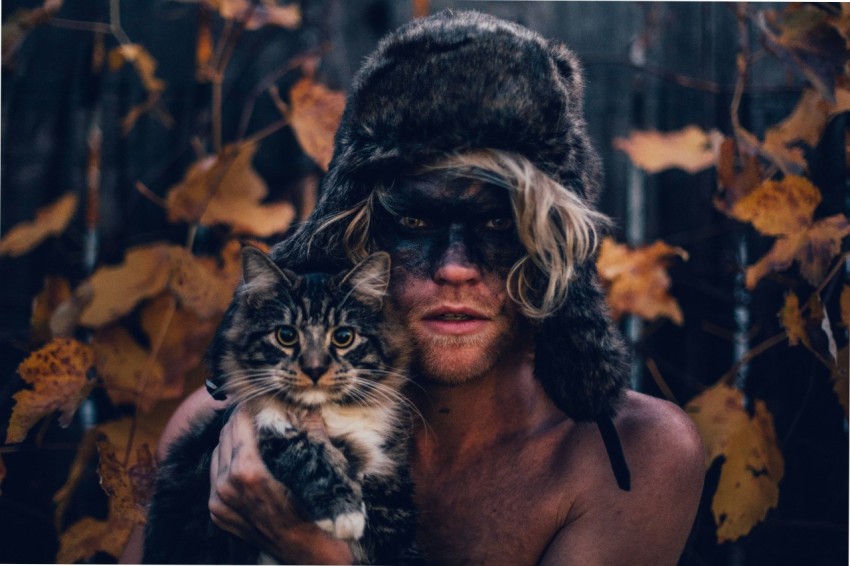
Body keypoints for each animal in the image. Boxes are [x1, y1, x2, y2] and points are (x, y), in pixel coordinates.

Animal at [144, 251, 420, 564]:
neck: (331, 413)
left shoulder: (386, 470)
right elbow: (311, 457)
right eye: (286, 335)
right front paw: (344, 512)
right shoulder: (269, 422)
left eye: (343, 337)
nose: (314, 369)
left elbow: (399, 536)